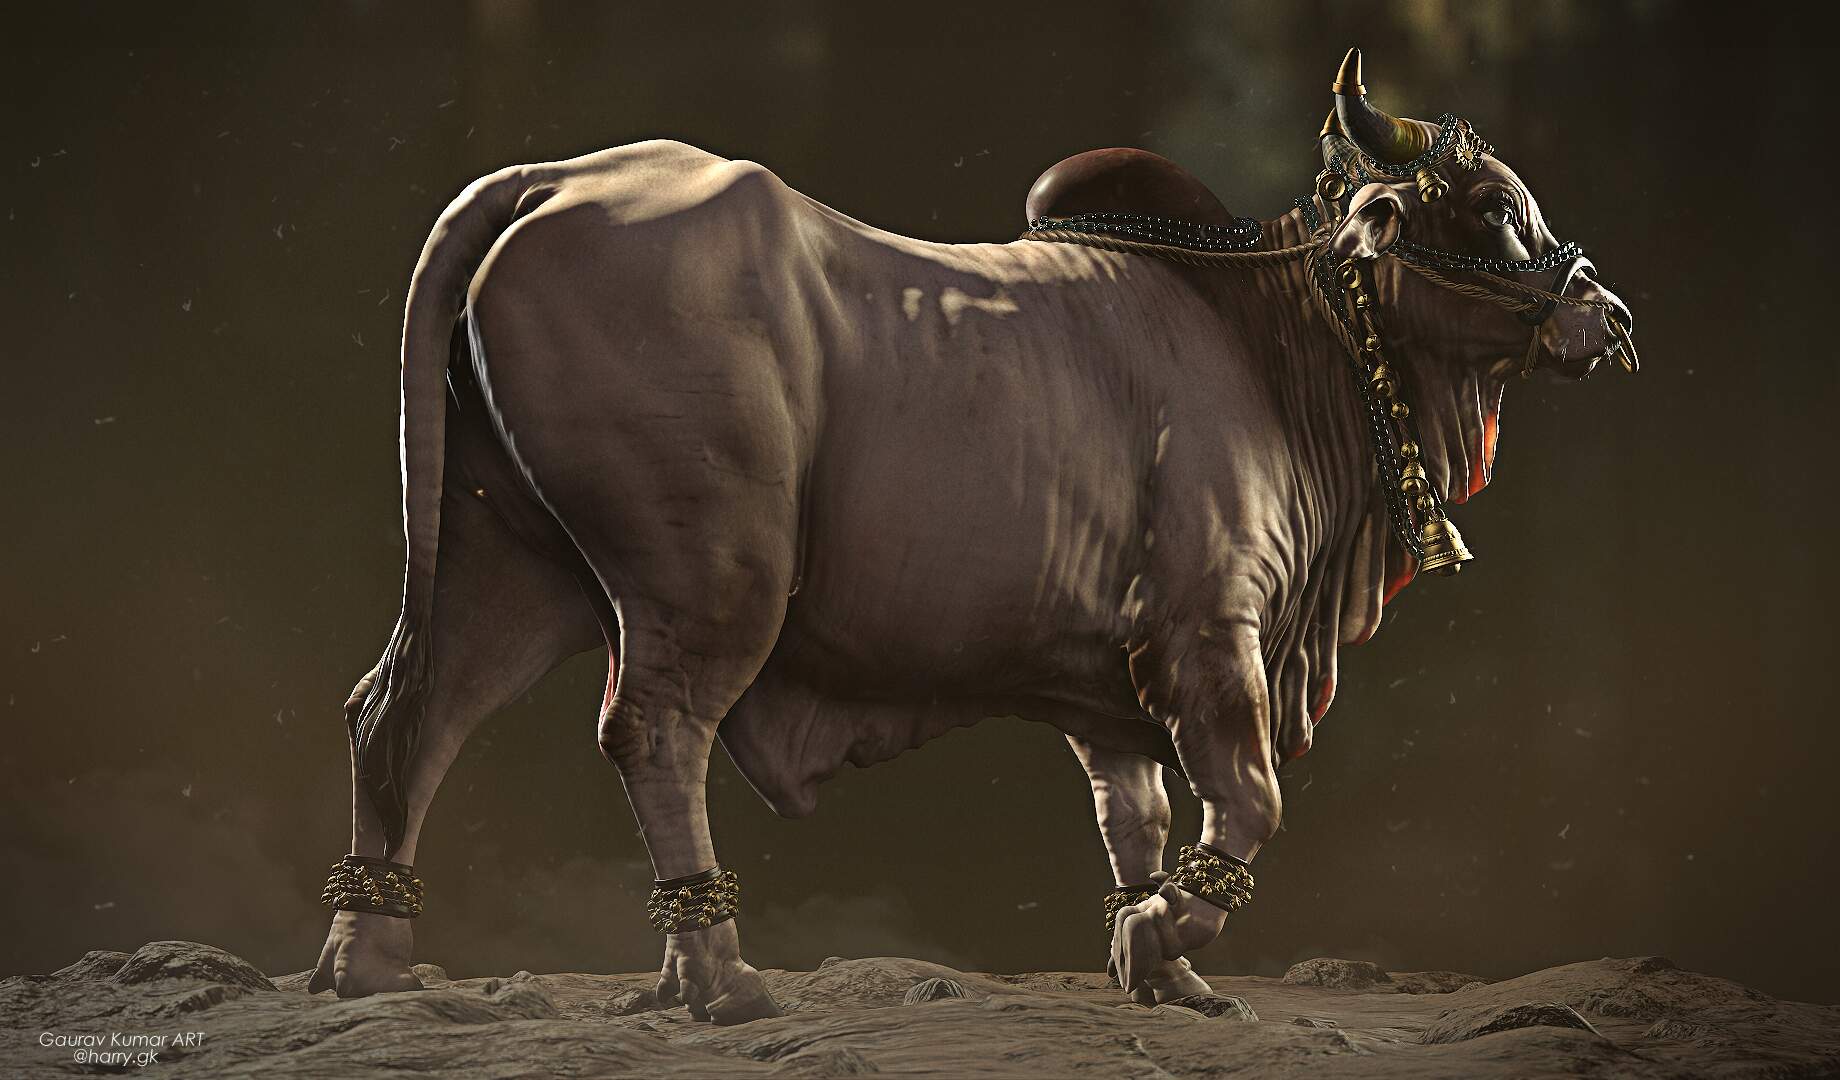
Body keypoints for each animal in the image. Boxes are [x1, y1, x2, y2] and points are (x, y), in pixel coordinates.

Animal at [309, 48, 1633, 1023]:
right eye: (1493, 208)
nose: (1612, 316)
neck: (1265, 333)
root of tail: (551, 180)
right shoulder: (1213, 627)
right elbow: (1246, 801)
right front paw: (1160, 931)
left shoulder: (1117, 683)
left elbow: (1136, 818)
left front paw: (1163, 969)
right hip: (705, 581)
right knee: (653, 727)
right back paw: (719, 977)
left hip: (506, 560)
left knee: (403, 709)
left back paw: (369, 959)